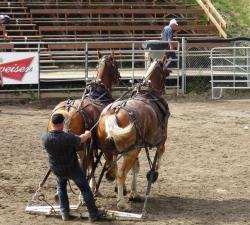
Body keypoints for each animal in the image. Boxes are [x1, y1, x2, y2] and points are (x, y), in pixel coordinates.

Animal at [47, 51, 120, 192]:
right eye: (116, 65)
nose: (119, 77)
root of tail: (68, 110)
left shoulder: (90, 146)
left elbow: (92, 164)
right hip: (81, 146)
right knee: (83, 166)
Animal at [95, 54, 170, 211]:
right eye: (166, 73)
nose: (164, 89)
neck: (147, 94)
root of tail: (114, 112)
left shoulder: (137, 146)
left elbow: (136, 167)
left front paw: (133, 193)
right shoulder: (161, 142)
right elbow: (156, 160)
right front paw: (153, 175)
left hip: (109, 151)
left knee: (114, 169)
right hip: (131, 151)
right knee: (121, 173)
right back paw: (121, 203)